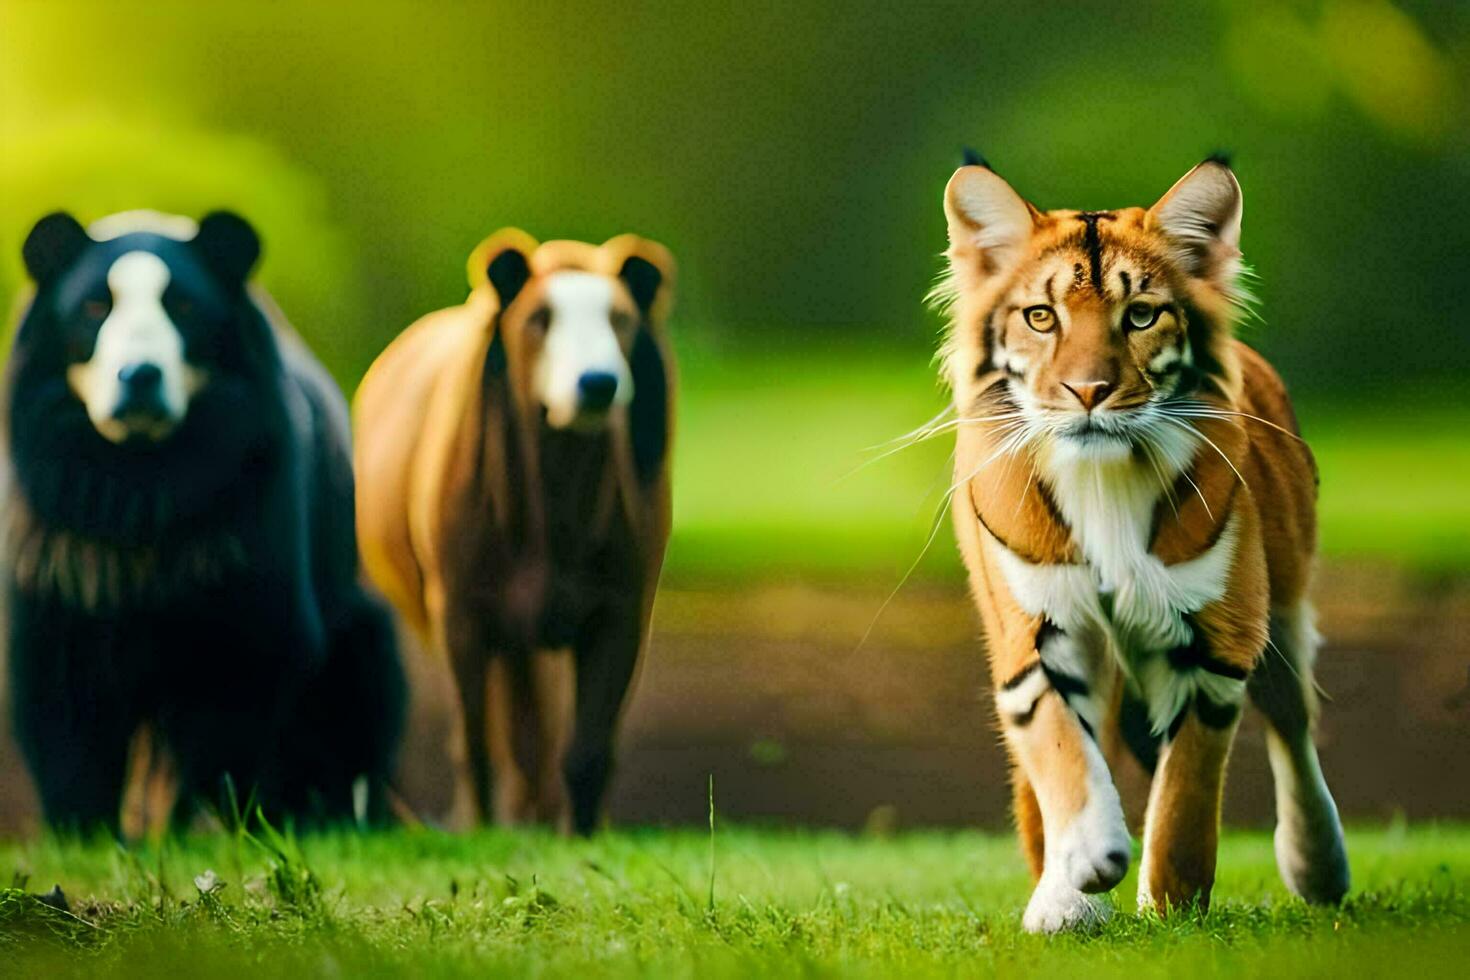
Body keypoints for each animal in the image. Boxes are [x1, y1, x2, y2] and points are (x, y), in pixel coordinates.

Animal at [934, 155, 1346, 934]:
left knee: (1294, 726)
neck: (1104, 478)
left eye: (1142, 315)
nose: (1088, 390)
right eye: (1041, 317)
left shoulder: (1218, 639)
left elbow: (1186, 788)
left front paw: (1173, 904)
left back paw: (1320, 867)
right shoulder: (1035, 628)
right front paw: (1083, 875)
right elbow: (1063, 747)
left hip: (1283, 610)